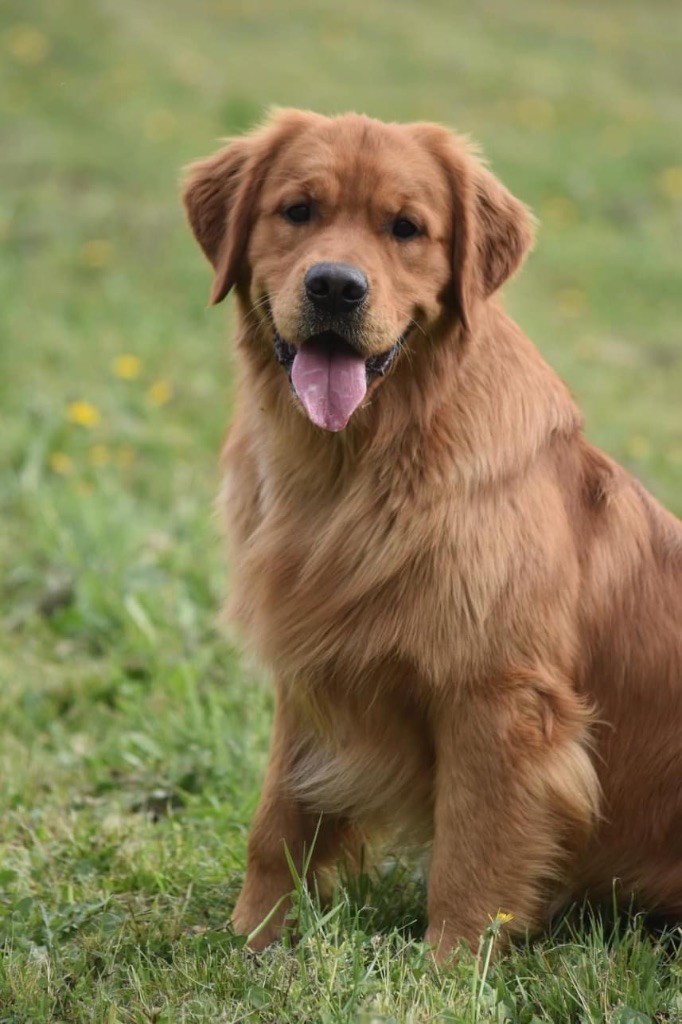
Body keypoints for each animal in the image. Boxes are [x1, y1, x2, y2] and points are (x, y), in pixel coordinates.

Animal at [182, 108, 679, 954]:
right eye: (298, 210)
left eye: (406, 228)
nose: (335, 285)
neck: (355, 464)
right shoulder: (310, 664)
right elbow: (276, 821)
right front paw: (252, 936)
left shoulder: (497, 696)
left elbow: (473, 849)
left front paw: (451, 965)